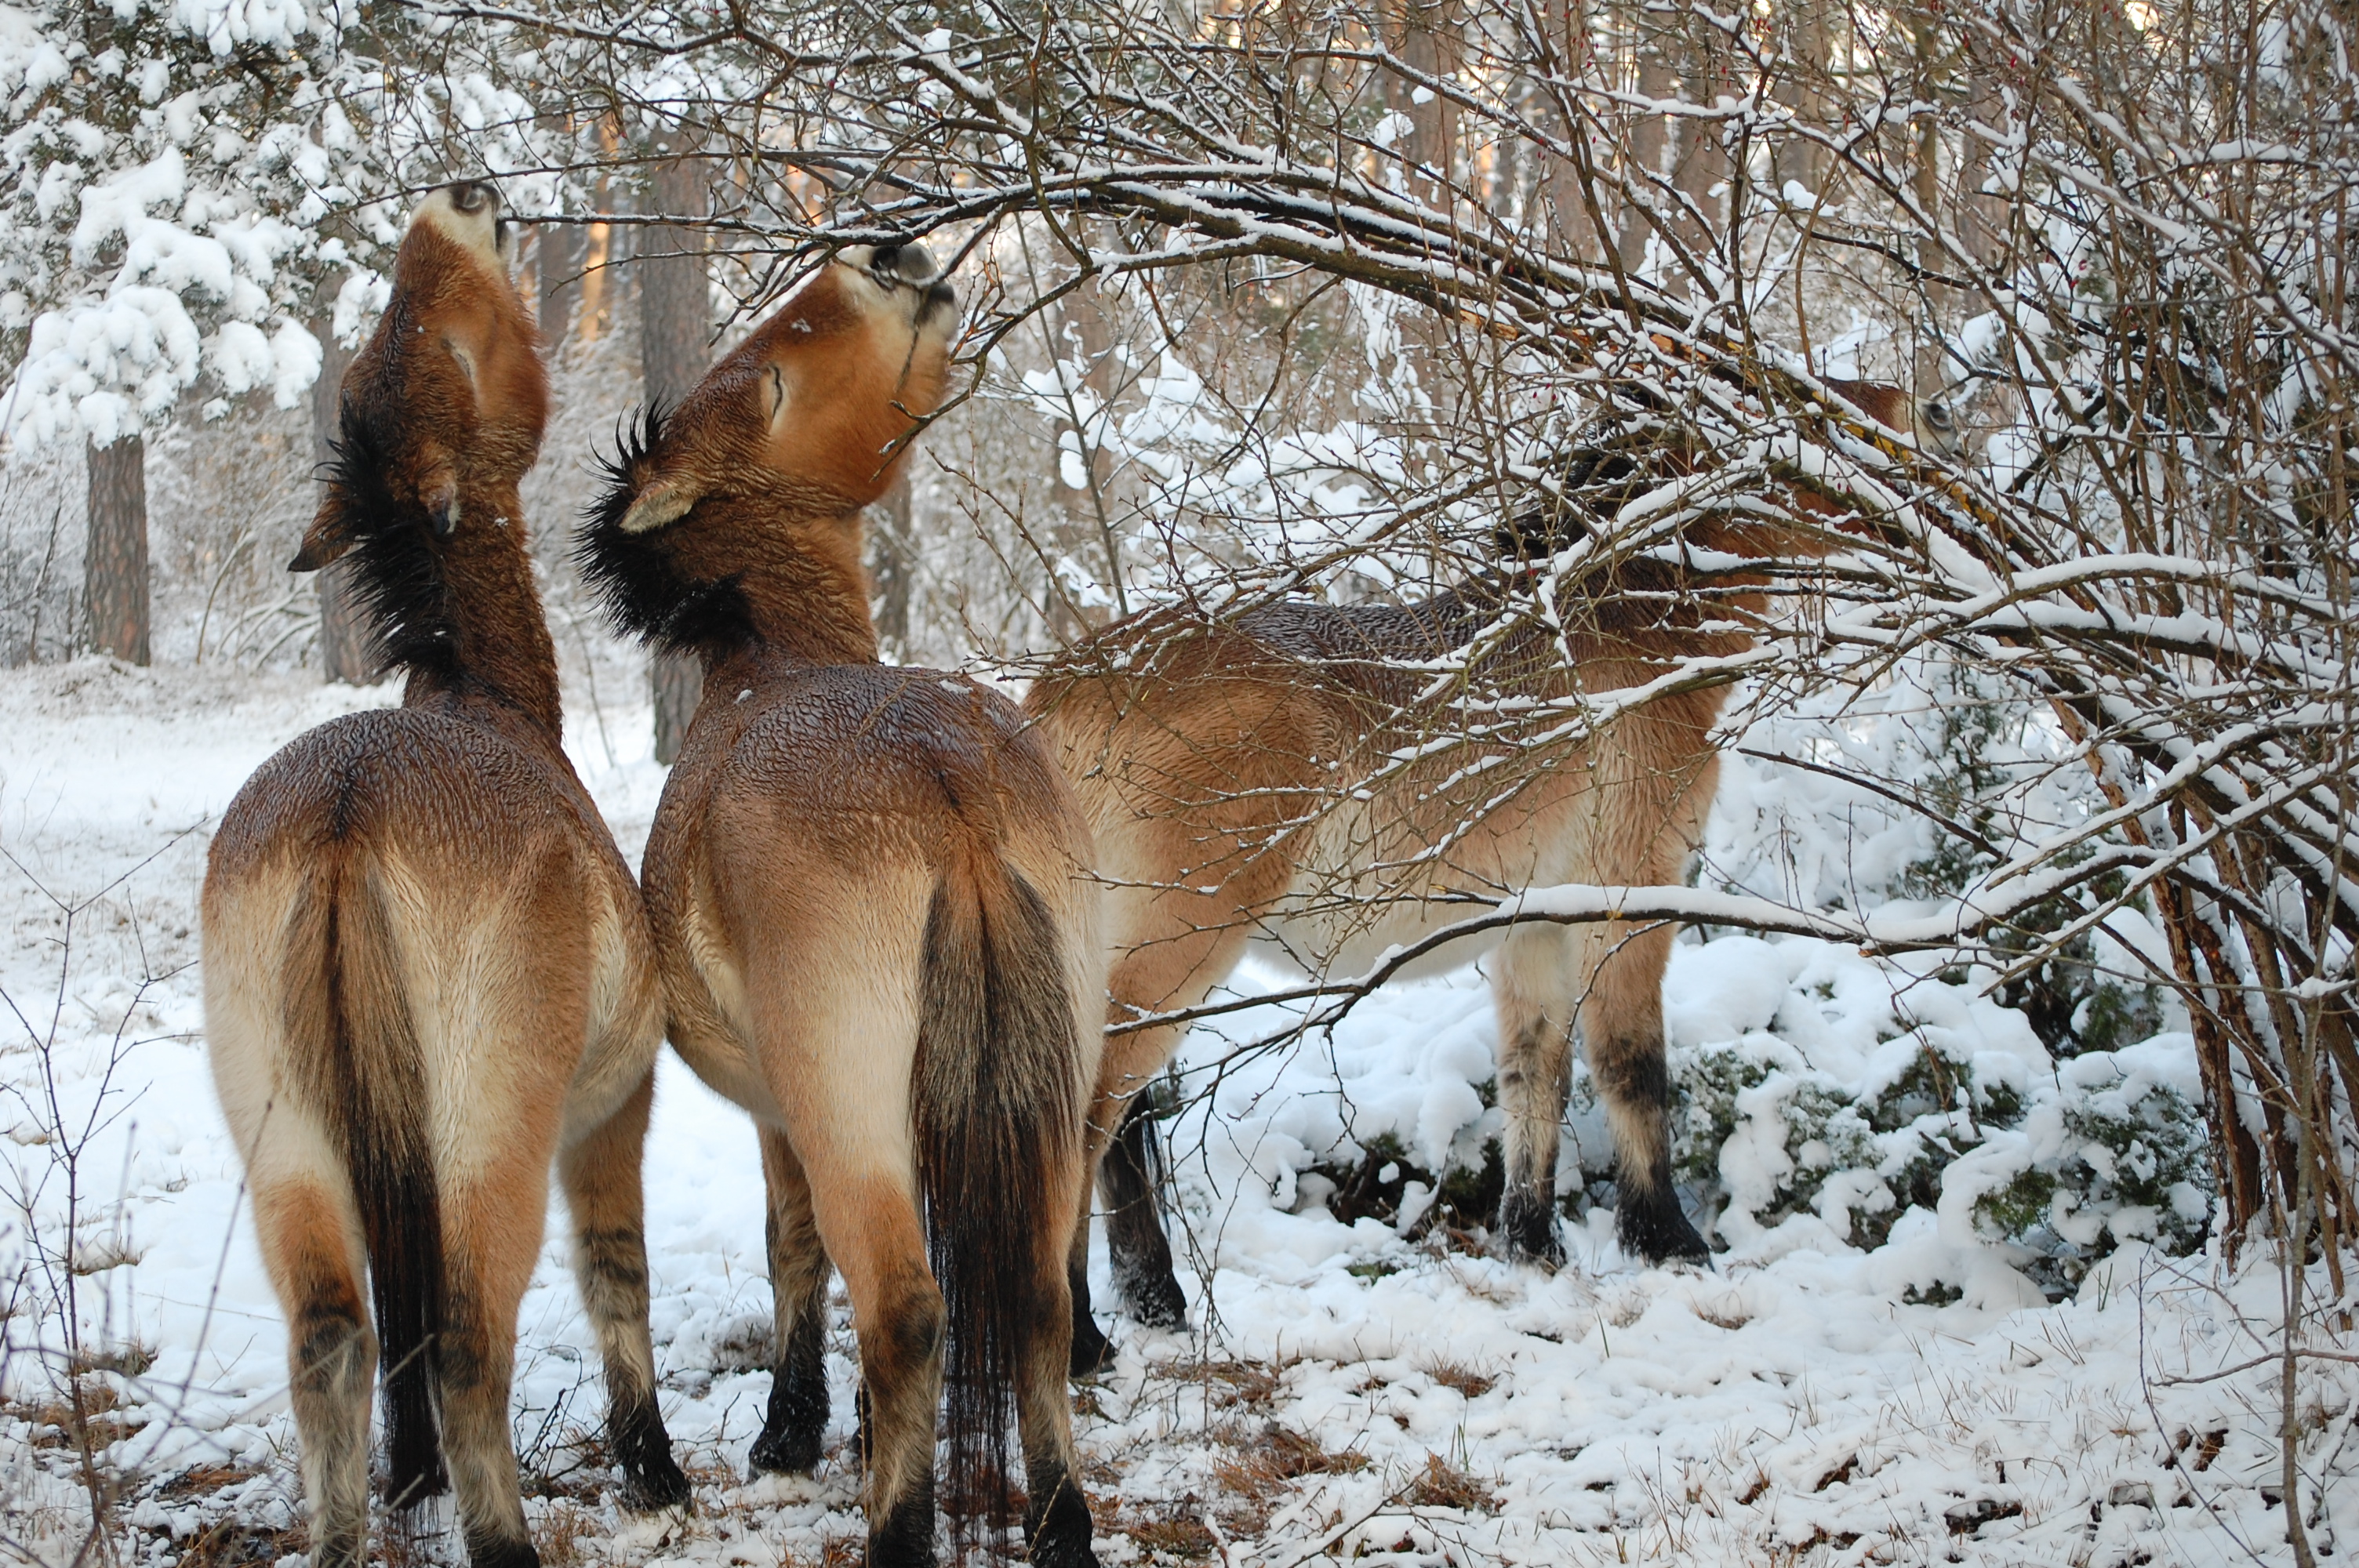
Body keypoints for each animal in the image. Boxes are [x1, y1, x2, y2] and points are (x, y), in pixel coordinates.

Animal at [204, 180, 689, 1565]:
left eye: (386, 340)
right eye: (450, 340)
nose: (461, 199)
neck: (482, 694)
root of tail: (346, 816)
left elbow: (401, 1311)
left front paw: (412, 1476)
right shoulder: (613, 1108)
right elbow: (617, 1270)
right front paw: (654, 1467)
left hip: (290, 1137)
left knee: (336, 1335)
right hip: (491, 1135)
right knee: (473, 1334)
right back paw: (503, 1532)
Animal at [584, 245, 1108, 1565]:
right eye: (777, 374)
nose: (893, 259)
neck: (774, 662)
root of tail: (944, 784)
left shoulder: (786, 1117)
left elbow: (794, 1251)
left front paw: (795, 1433)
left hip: (847, 1109)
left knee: (907, 1304)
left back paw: (896, 1526)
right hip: (1050, 1089)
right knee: (1034, 1291)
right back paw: (1061, 1524)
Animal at [1038, 377, 1934, 1358]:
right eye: (1819, 428)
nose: (1917, 506)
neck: (1622, 625)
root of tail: (1060, 692)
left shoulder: (1532, 924)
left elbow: (1533, 1076)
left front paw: (1531, 1248)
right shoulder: (1626, 900)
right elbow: (1630, 1065)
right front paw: (1669, 1244)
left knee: (1122, 1125)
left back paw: (1153, 1301)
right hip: (1176, 953)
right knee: (1088, 1118)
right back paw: (1082, 1339)